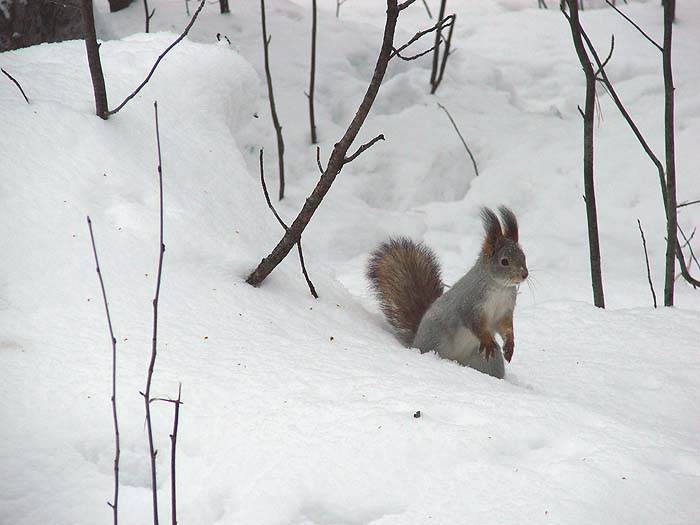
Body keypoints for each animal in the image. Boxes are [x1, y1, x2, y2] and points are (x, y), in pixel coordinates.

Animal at [370, 205, 528, 376]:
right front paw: (487, 341)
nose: (524, 274)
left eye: (524, 256)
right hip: (435, 338)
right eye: (504, 261)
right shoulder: (470, 302)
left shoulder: (505, 310)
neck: (500, 288)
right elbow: (474, 323)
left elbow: (506, 327)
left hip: (490, 362)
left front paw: (510, 346)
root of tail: (415, 342)